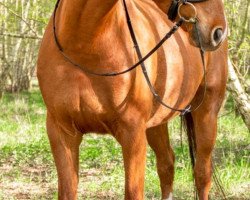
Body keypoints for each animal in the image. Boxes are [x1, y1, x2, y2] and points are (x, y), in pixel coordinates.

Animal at [37, 0, 229, 198]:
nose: (218, 31)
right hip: (156, 123)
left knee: (202, 174)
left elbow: (133, 191)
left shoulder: (133, 133)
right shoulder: (62, 132)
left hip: (206, 113)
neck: (83, 43)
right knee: (167, 163)